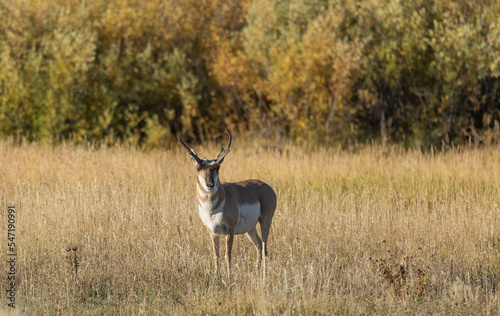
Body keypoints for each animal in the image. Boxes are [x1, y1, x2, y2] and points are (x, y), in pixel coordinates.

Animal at [177, 131, 278, 282]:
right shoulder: (212, 231)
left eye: (217, 168)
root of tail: (267, 187)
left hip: (265, 221)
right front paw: (216, 277)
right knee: (259, 246)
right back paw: (257, 272)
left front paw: (229, 279)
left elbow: (227, 255)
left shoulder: (229, 230)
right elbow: (216, 255)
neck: (213, 208)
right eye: (198, 168)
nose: (210, 184)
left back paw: (264, 275)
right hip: (250, 230)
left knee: (265, 246)